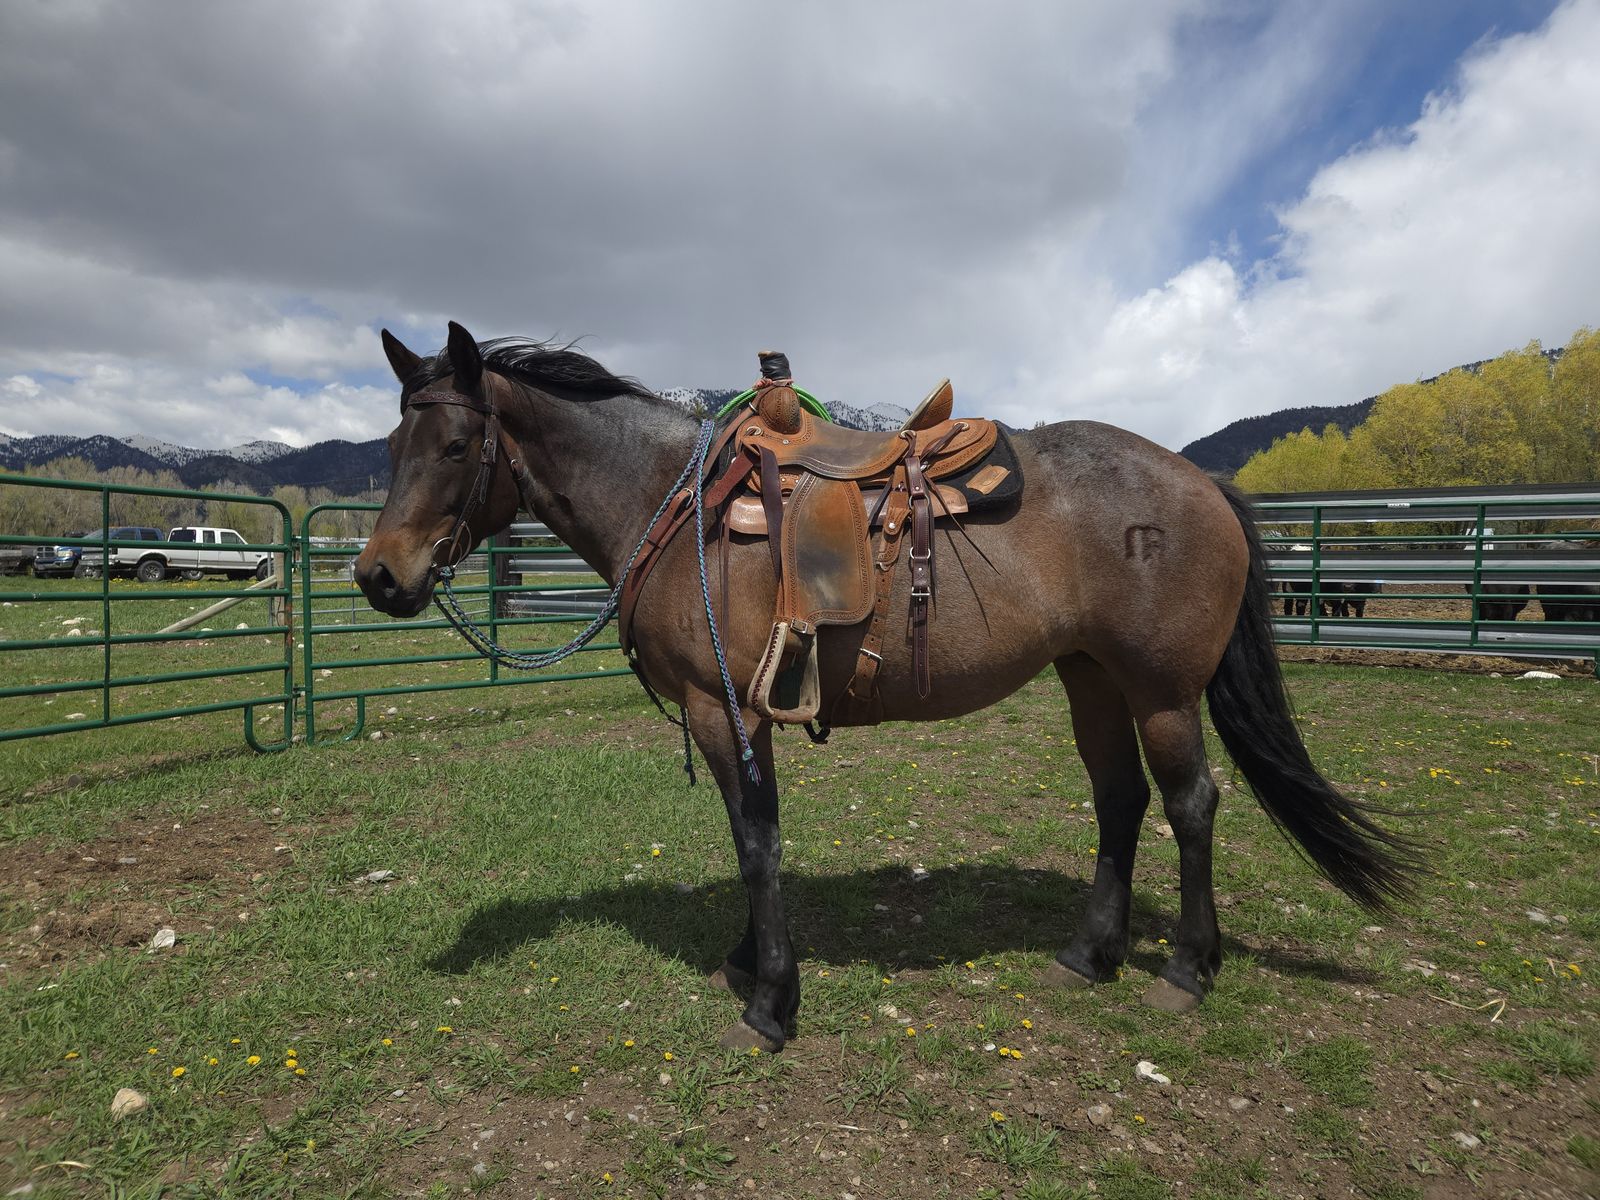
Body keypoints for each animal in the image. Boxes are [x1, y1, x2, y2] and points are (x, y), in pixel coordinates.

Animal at [353, 322, 1415, 1053]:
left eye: (455, 448)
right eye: (392, 450)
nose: (377, 577)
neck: (673, 503)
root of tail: (1203, 484)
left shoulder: (723, 708)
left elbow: (757, 845)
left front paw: (770, 1001)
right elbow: (752, 840)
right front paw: (750, 962)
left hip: (1160, 691)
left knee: (1191, 804)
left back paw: (1188, 969)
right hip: (1092, 680)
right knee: (1120, 800)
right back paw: (1090, 956)